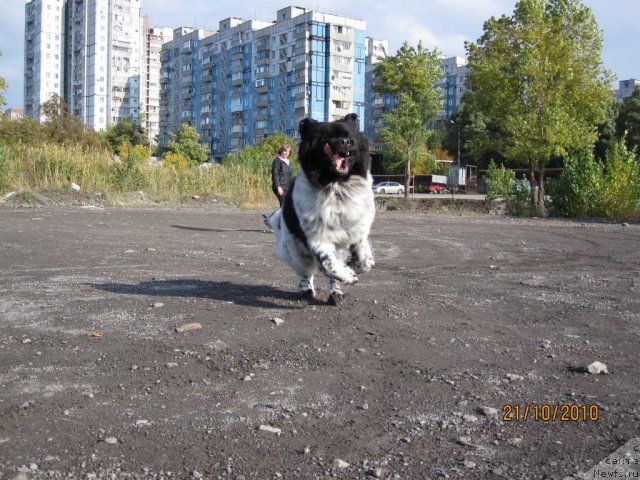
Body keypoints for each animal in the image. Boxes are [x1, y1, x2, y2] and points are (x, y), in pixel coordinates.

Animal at [264, 113, 376, 304]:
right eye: (327, 137)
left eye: (349, 136)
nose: (345, 142)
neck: (337, 187)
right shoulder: (317, 238)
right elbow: (329, 265)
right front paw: (349, 275)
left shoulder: (357, 233)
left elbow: (366, 262)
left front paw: (351, 267)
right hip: (296, 251)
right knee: (306, 272)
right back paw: (306, 289)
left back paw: (335, 293)